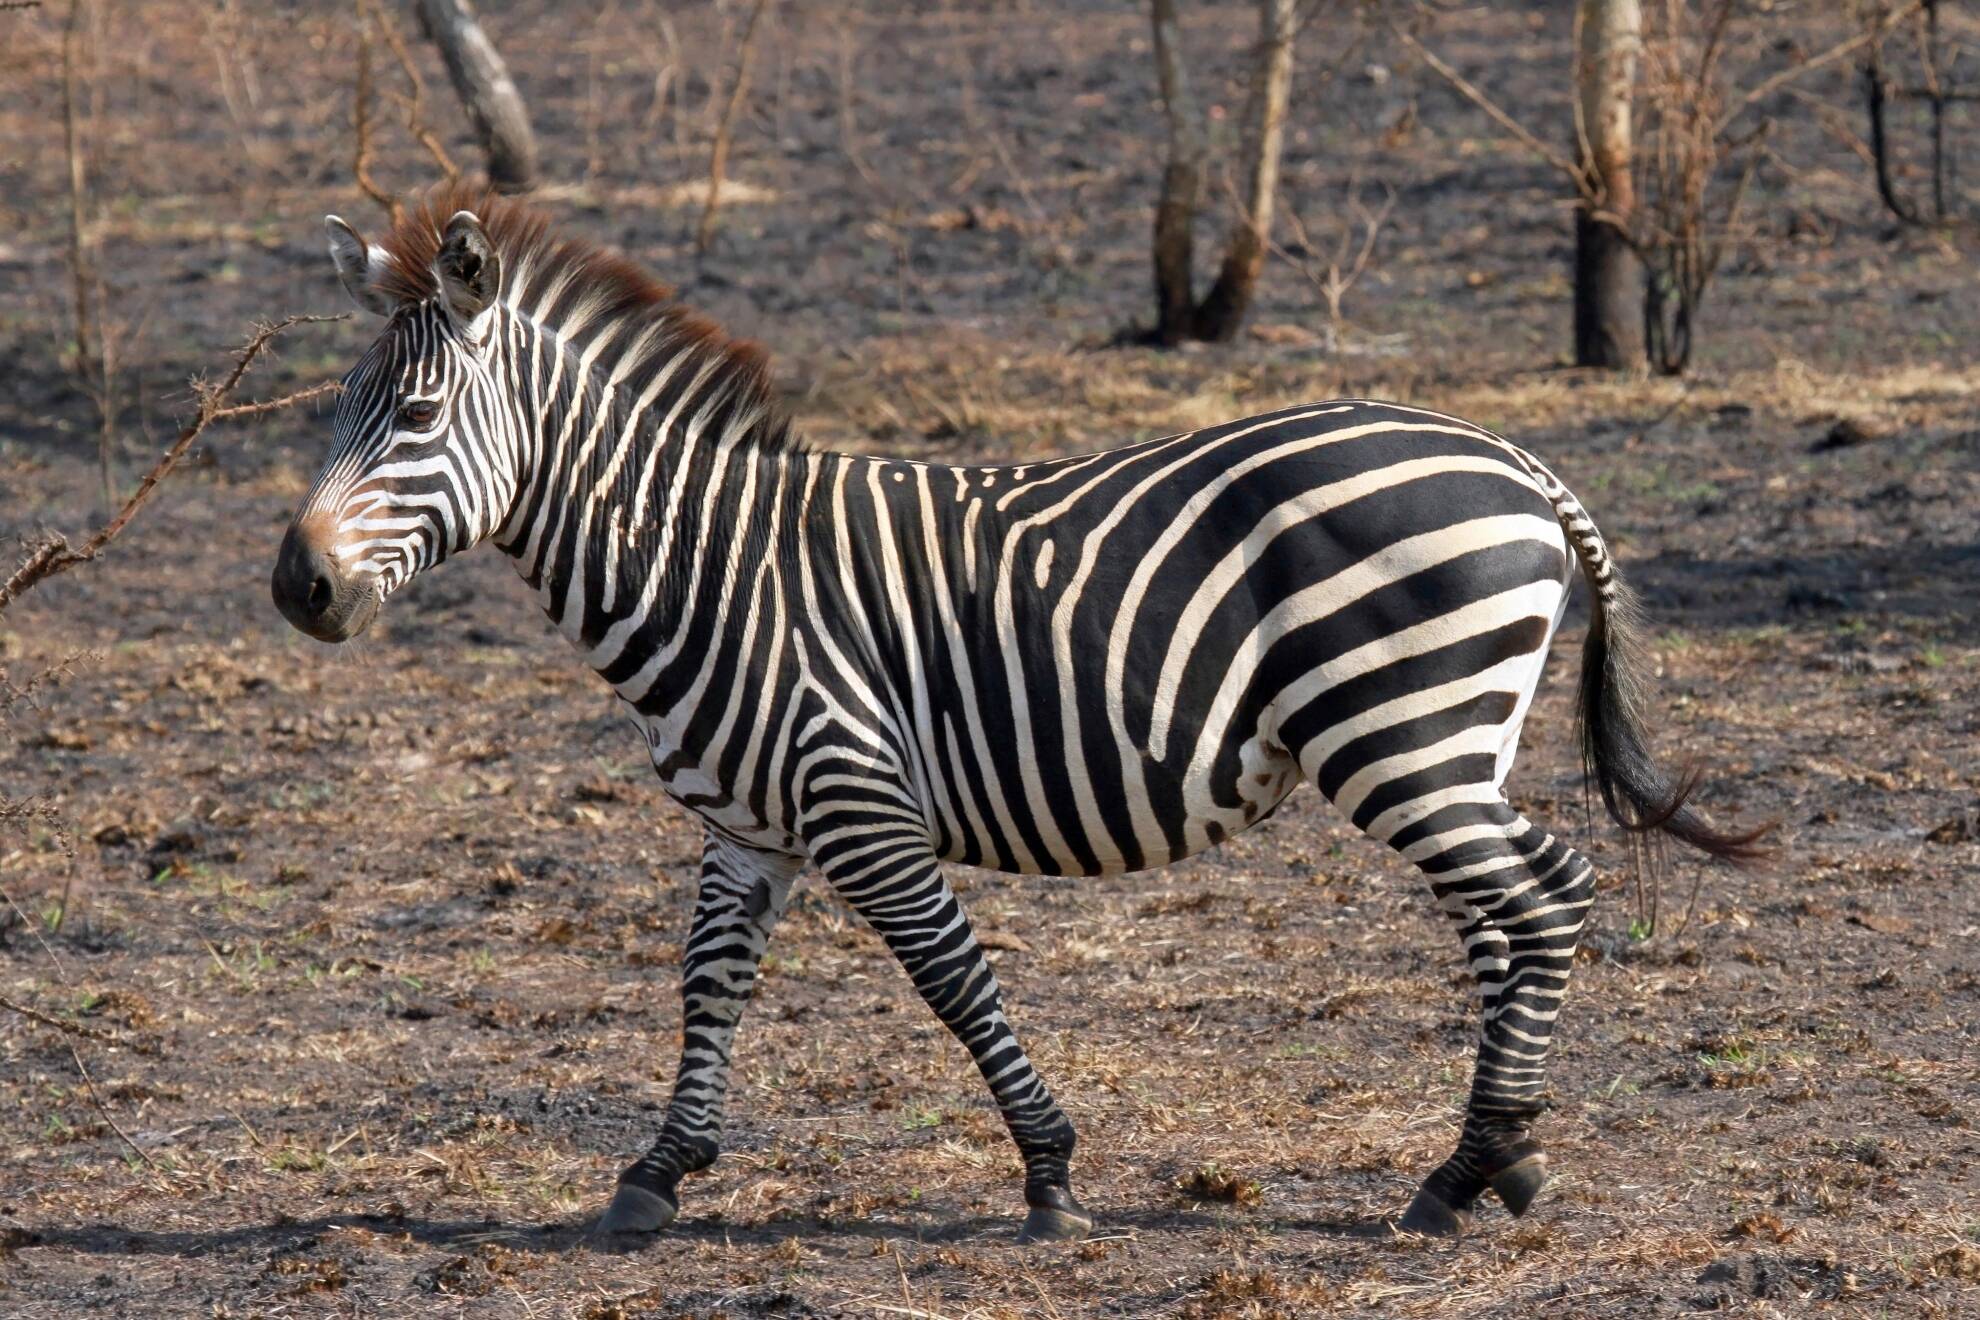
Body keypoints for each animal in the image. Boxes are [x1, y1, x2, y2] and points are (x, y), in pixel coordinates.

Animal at [272, 185, 1765, 1244]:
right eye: (336, 409)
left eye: (415, 416)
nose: (297, 586)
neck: (711, 566)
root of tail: (1514, 455)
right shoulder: (747, 824)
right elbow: (709, 984)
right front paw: (658, 1172)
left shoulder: (858, 800)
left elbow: (952, 976)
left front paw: (1049, 1173)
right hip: (1454, 740)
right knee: (1523, 906)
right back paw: (1505, 1156)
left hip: (1402, 733)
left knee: (1545, 899)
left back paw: (1463, 1172)